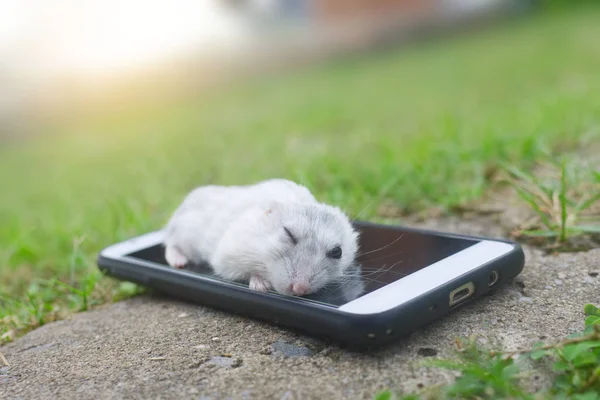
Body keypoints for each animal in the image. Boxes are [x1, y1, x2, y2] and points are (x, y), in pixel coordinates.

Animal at [164, 180, 358, 296]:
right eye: (288, 233)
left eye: (337, 252)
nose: (299, 289)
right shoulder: (227, 256)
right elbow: (248, 272)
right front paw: (262, 287)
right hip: (182, 233)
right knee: (170, 245)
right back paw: (179, 262)